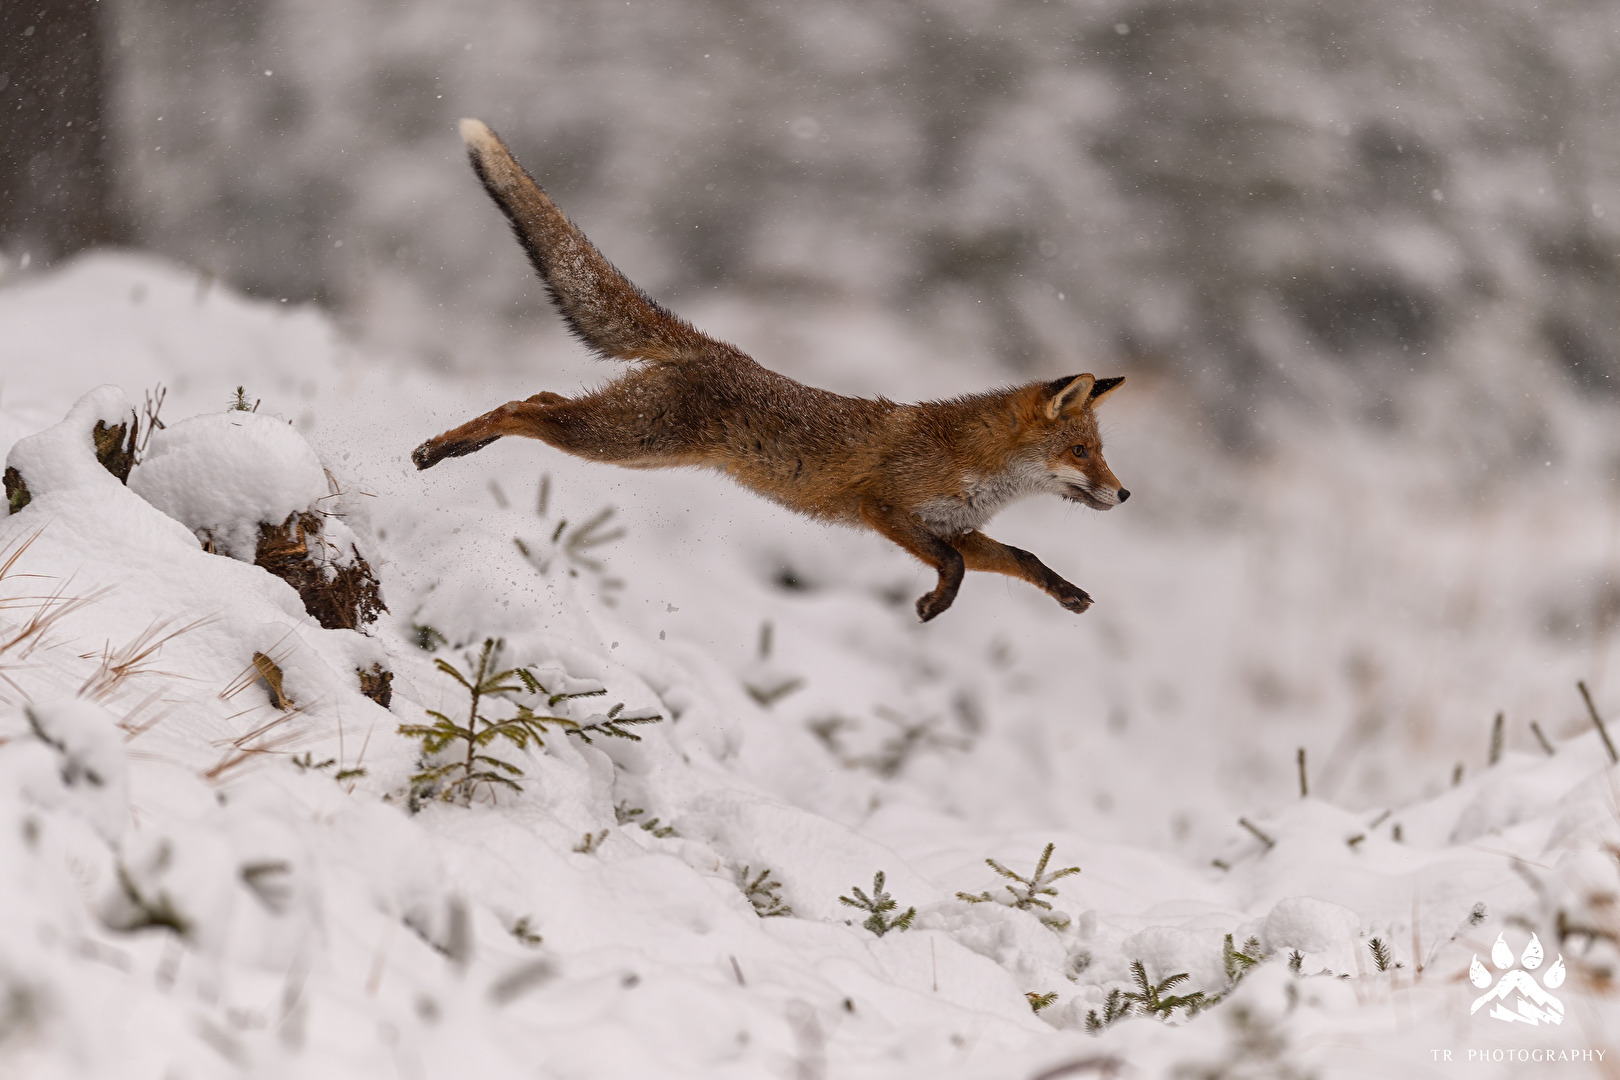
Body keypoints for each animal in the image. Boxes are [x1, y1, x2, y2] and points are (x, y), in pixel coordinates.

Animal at [411, 118, 1134, 621]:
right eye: (1081, 451)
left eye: (1100, 452)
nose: (1125, 494)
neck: (973, 466)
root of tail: (712, 346)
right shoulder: (884, 508)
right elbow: (954, 568)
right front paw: (935, 605)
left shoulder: (952, 528)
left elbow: (1022, 557)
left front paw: (1067, 593)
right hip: (624, 439)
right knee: (523, 407)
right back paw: (438, 449)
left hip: (636, 445)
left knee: (539, 397)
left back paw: (461, 445)